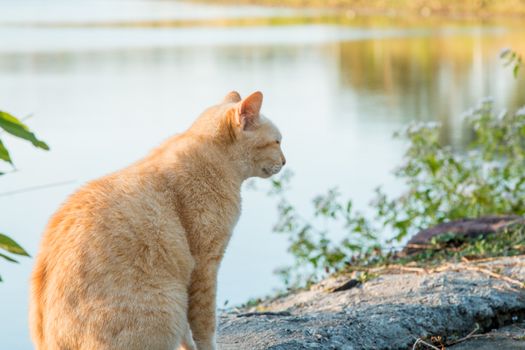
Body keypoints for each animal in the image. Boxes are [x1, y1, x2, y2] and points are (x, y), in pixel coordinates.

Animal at [30, 91, 284, 348]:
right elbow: (205, 326)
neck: (216, 159)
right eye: (277, 142)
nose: (284, 161)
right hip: (167, 303)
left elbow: (187, 332)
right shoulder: (205, 266)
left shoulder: (190, 278)